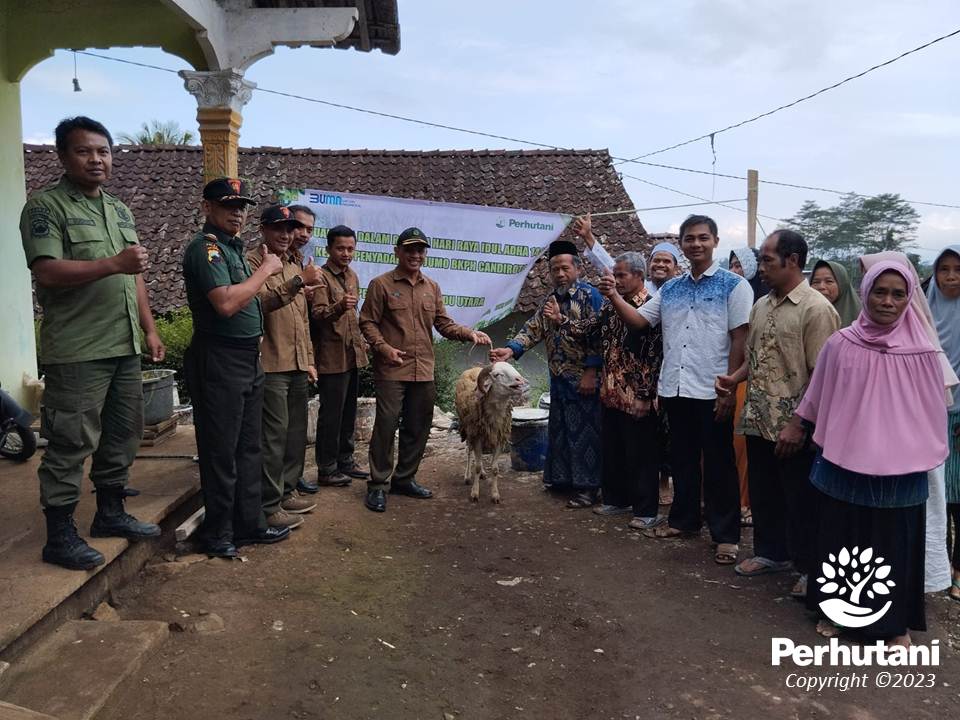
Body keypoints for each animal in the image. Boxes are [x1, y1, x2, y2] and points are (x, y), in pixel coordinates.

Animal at [454, 362, 528, 504]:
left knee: (479, 456)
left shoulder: (499, 439)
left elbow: (494, 469)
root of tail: (472, 368)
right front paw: (474, 493)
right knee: (469, 452)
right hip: (468, 429)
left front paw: (495, 495)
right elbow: (476, 466)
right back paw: (467, 476)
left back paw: (483, 473)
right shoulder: (476, 436)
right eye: (497, 374)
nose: (520, 380)